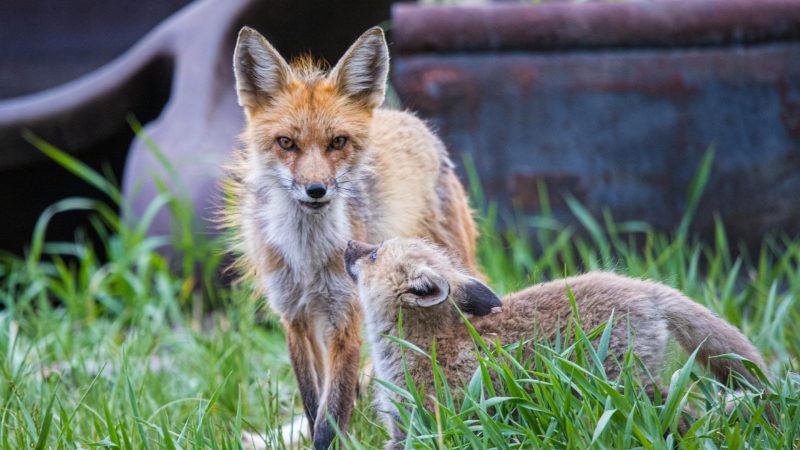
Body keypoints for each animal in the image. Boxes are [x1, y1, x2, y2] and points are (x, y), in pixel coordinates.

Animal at [222, 26, 478, 448]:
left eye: (338, 142)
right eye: (286, 142)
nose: (316, 190)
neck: (308, 258)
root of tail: (406, 117)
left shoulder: (346, 318)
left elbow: (331, 416)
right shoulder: (293, 317)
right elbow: (315, 407)